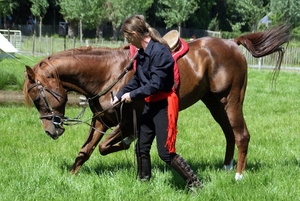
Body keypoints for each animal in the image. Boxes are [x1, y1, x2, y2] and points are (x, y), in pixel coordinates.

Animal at [23, 25, 290, 181]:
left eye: (38, 98)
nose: (51, 130)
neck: (109, 72)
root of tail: (232, 43)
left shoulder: (125, 122)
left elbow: (106, 146)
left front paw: (126, 143)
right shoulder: (101, 120)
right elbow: (86, 151)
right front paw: (71, 176)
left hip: (231, 99)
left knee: (241, 134)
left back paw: (238, 176)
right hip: (214, 103)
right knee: (229, 133)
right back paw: (226, 167)